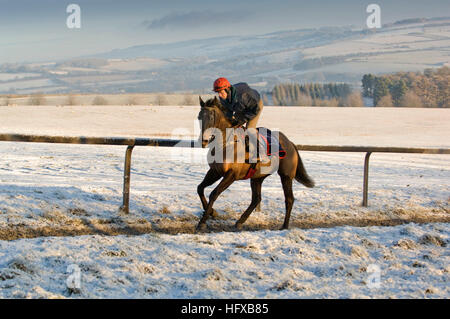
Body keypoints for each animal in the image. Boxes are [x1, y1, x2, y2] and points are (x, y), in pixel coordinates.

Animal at [197, 96, 312, 231]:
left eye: (211, 117)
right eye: (199, 117)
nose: (204, 141)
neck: (226, 144)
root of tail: (291, 143)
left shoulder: (232, 174)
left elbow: (214, 193)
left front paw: (202, 222)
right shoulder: (215, 171)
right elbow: (200, 188)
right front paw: (212, 212)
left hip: (286, 176)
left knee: (289, 199)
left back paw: (284, 226)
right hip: (257, 177)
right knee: (256, 199)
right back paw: (240, 221)